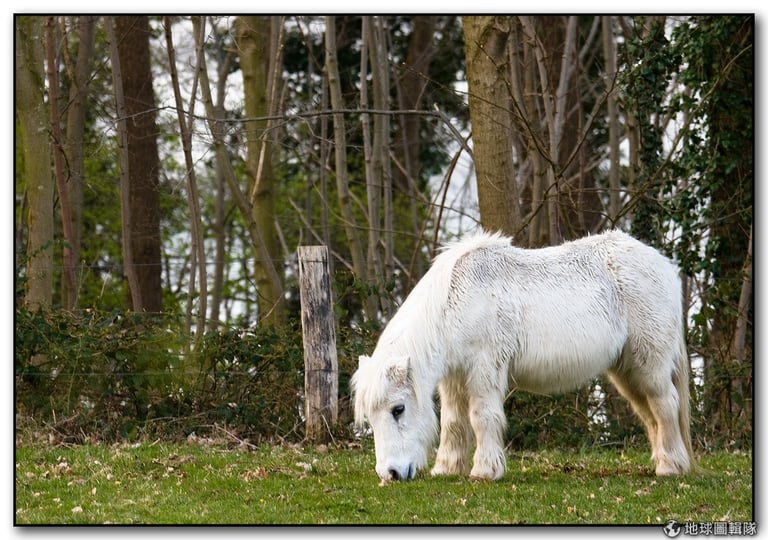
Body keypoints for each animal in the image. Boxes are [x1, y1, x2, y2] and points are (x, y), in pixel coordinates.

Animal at [352, 230, 696, 484]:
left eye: (398, 409)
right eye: (369, 417)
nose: (391, 474)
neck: (456, 302)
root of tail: (664, 266)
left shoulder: (484, 369)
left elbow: (482, 416)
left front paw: (485, 471)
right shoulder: (454, 378)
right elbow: (454, 422)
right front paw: (447, 468)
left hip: (650, 364)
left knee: (665, 405)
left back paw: (671, 467)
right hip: (626, 371)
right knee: (650, 414)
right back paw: (664, 461)